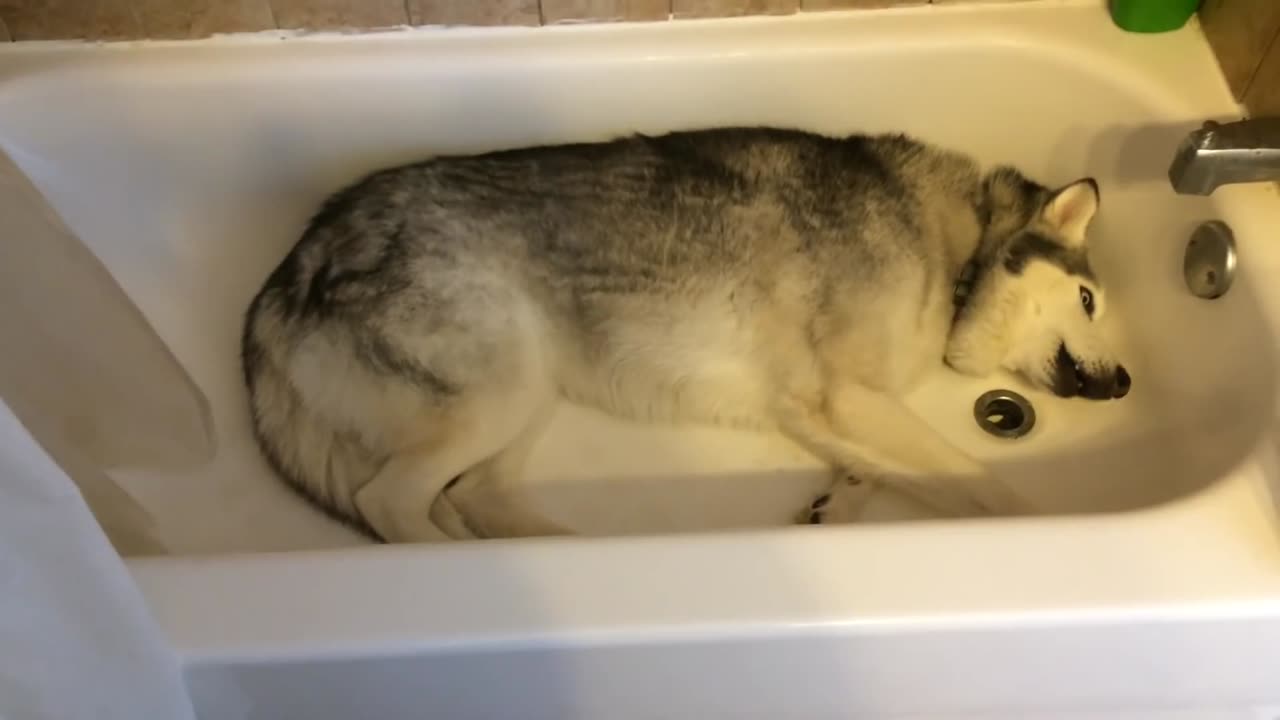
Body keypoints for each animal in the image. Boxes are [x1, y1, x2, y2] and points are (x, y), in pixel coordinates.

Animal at [240, 127, 1131, 538]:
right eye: (1090, 299)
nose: (1124, 383)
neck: (956, 252)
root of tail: (294, 264)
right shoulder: (845, 394)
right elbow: (981, 482)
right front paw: (1035, 532)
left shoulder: (825, 408)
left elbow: (891, 469)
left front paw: (840, 502)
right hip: (497, 394)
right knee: (391, 503)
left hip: (527, 398)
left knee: (473, 499)